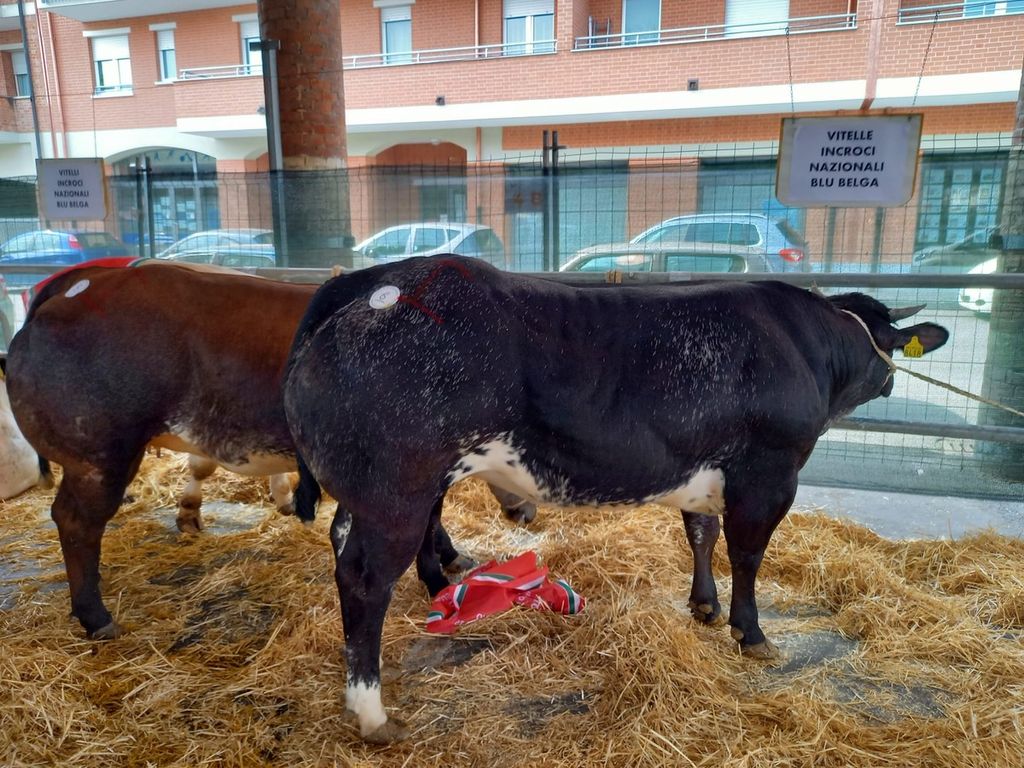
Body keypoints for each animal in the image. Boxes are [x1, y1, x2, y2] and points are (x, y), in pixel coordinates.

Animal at [6, 261, 531, 642]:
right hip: (99, 456)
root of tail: (79, 284)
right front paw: (439, 577)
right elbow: (427, 523)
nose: (526, 513)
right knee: (76, 522)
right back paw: (96, 617)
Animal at [282, 255, 950, 744]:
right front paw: (750, 631)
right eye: (892, 342)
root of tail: (375, 286)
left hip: (366, 494)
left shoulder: (701, 468)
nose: (890, 380)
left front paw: (704, 606)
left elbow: (701, 534)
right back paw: (372, 713)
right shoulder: (769, 472)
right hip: (398, 491)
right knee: (364, 578)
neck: (807, 345)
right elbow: (748, 554)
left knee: (340, 542)